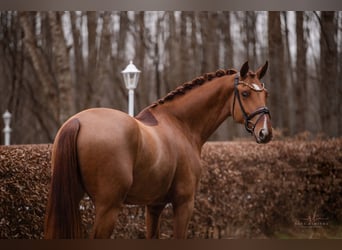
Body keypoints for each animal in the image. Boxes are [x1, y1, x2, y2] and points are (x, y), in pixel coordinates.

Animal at [44, 61, 272, 239]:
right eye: (245, 93)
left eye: (265, 93)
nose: (265, 133)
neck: (180, 124)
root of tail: (76, 122)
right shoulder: (184, 203)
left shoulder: (154, 205)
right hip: (108, 207)